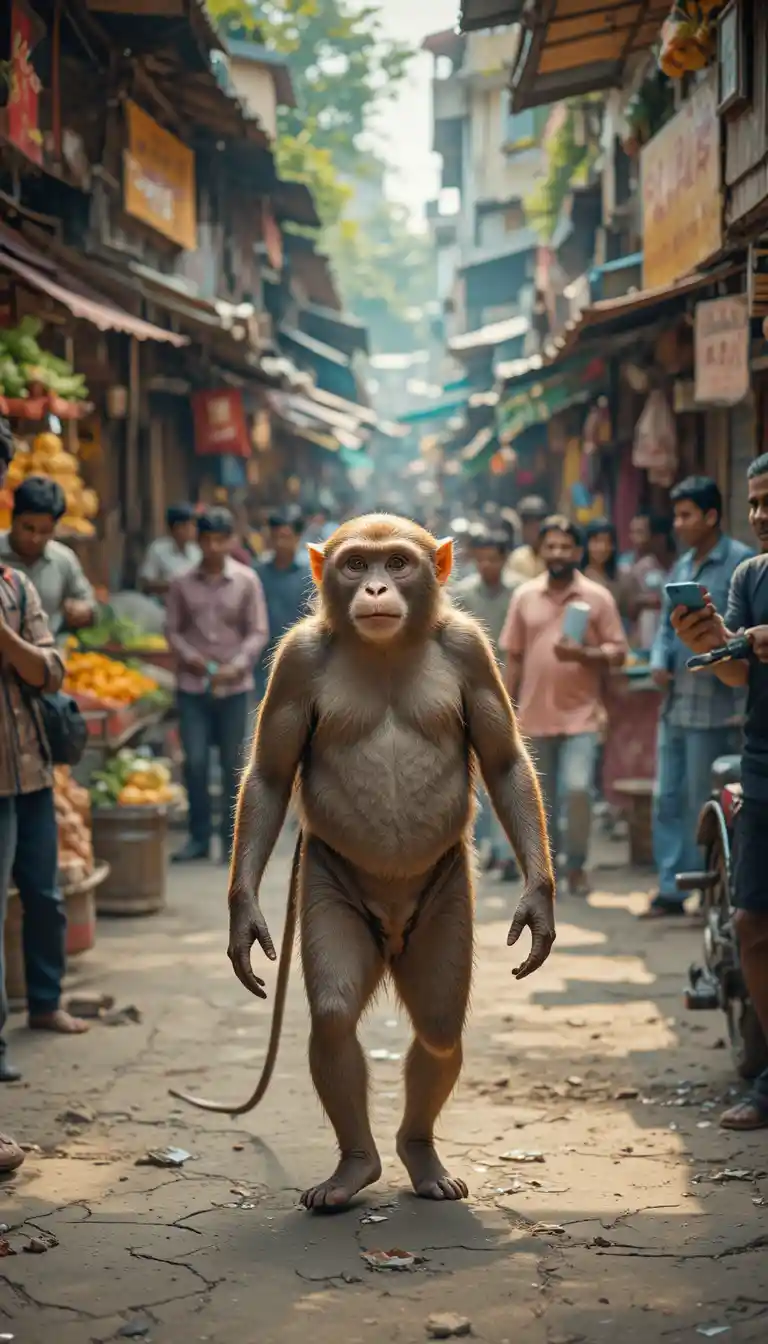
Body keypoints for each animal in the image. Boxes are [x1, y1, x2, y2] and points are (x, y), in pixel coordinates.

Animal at [171, 514, 555, 1211]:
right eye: (356, 565)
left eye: (397, 563)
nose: (375, 587)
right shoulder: (295, 660)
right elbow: (270, 777)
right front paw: (244, 919)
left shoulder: (470, 651)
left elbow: (505, 759)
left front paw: (538, 903)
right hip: (332, 879)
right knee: (334, 1018)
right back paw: (357, 1166)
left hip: (442, 897)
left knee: (438, 1026)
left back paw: (419, 1153)